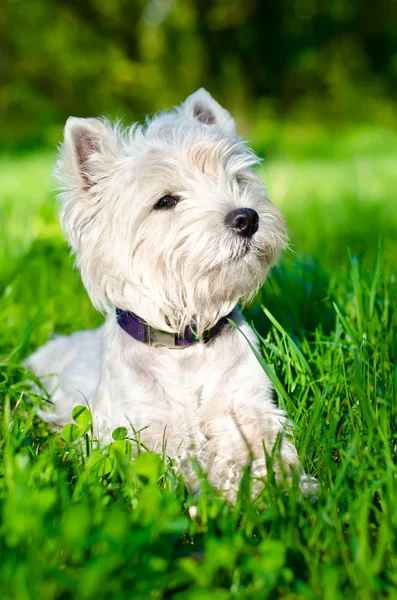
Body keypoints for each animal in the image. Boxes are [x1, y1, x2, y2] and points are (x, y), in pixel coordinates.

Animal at [27, 89, 310, 496]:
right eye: (165, 201)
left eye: (237, 179)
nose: (247, 218)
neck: (185, 345)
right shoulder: (144, 427)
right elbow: (175, 467)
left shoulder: (246, 403)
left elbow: (262, 445)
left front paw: (278, 488)